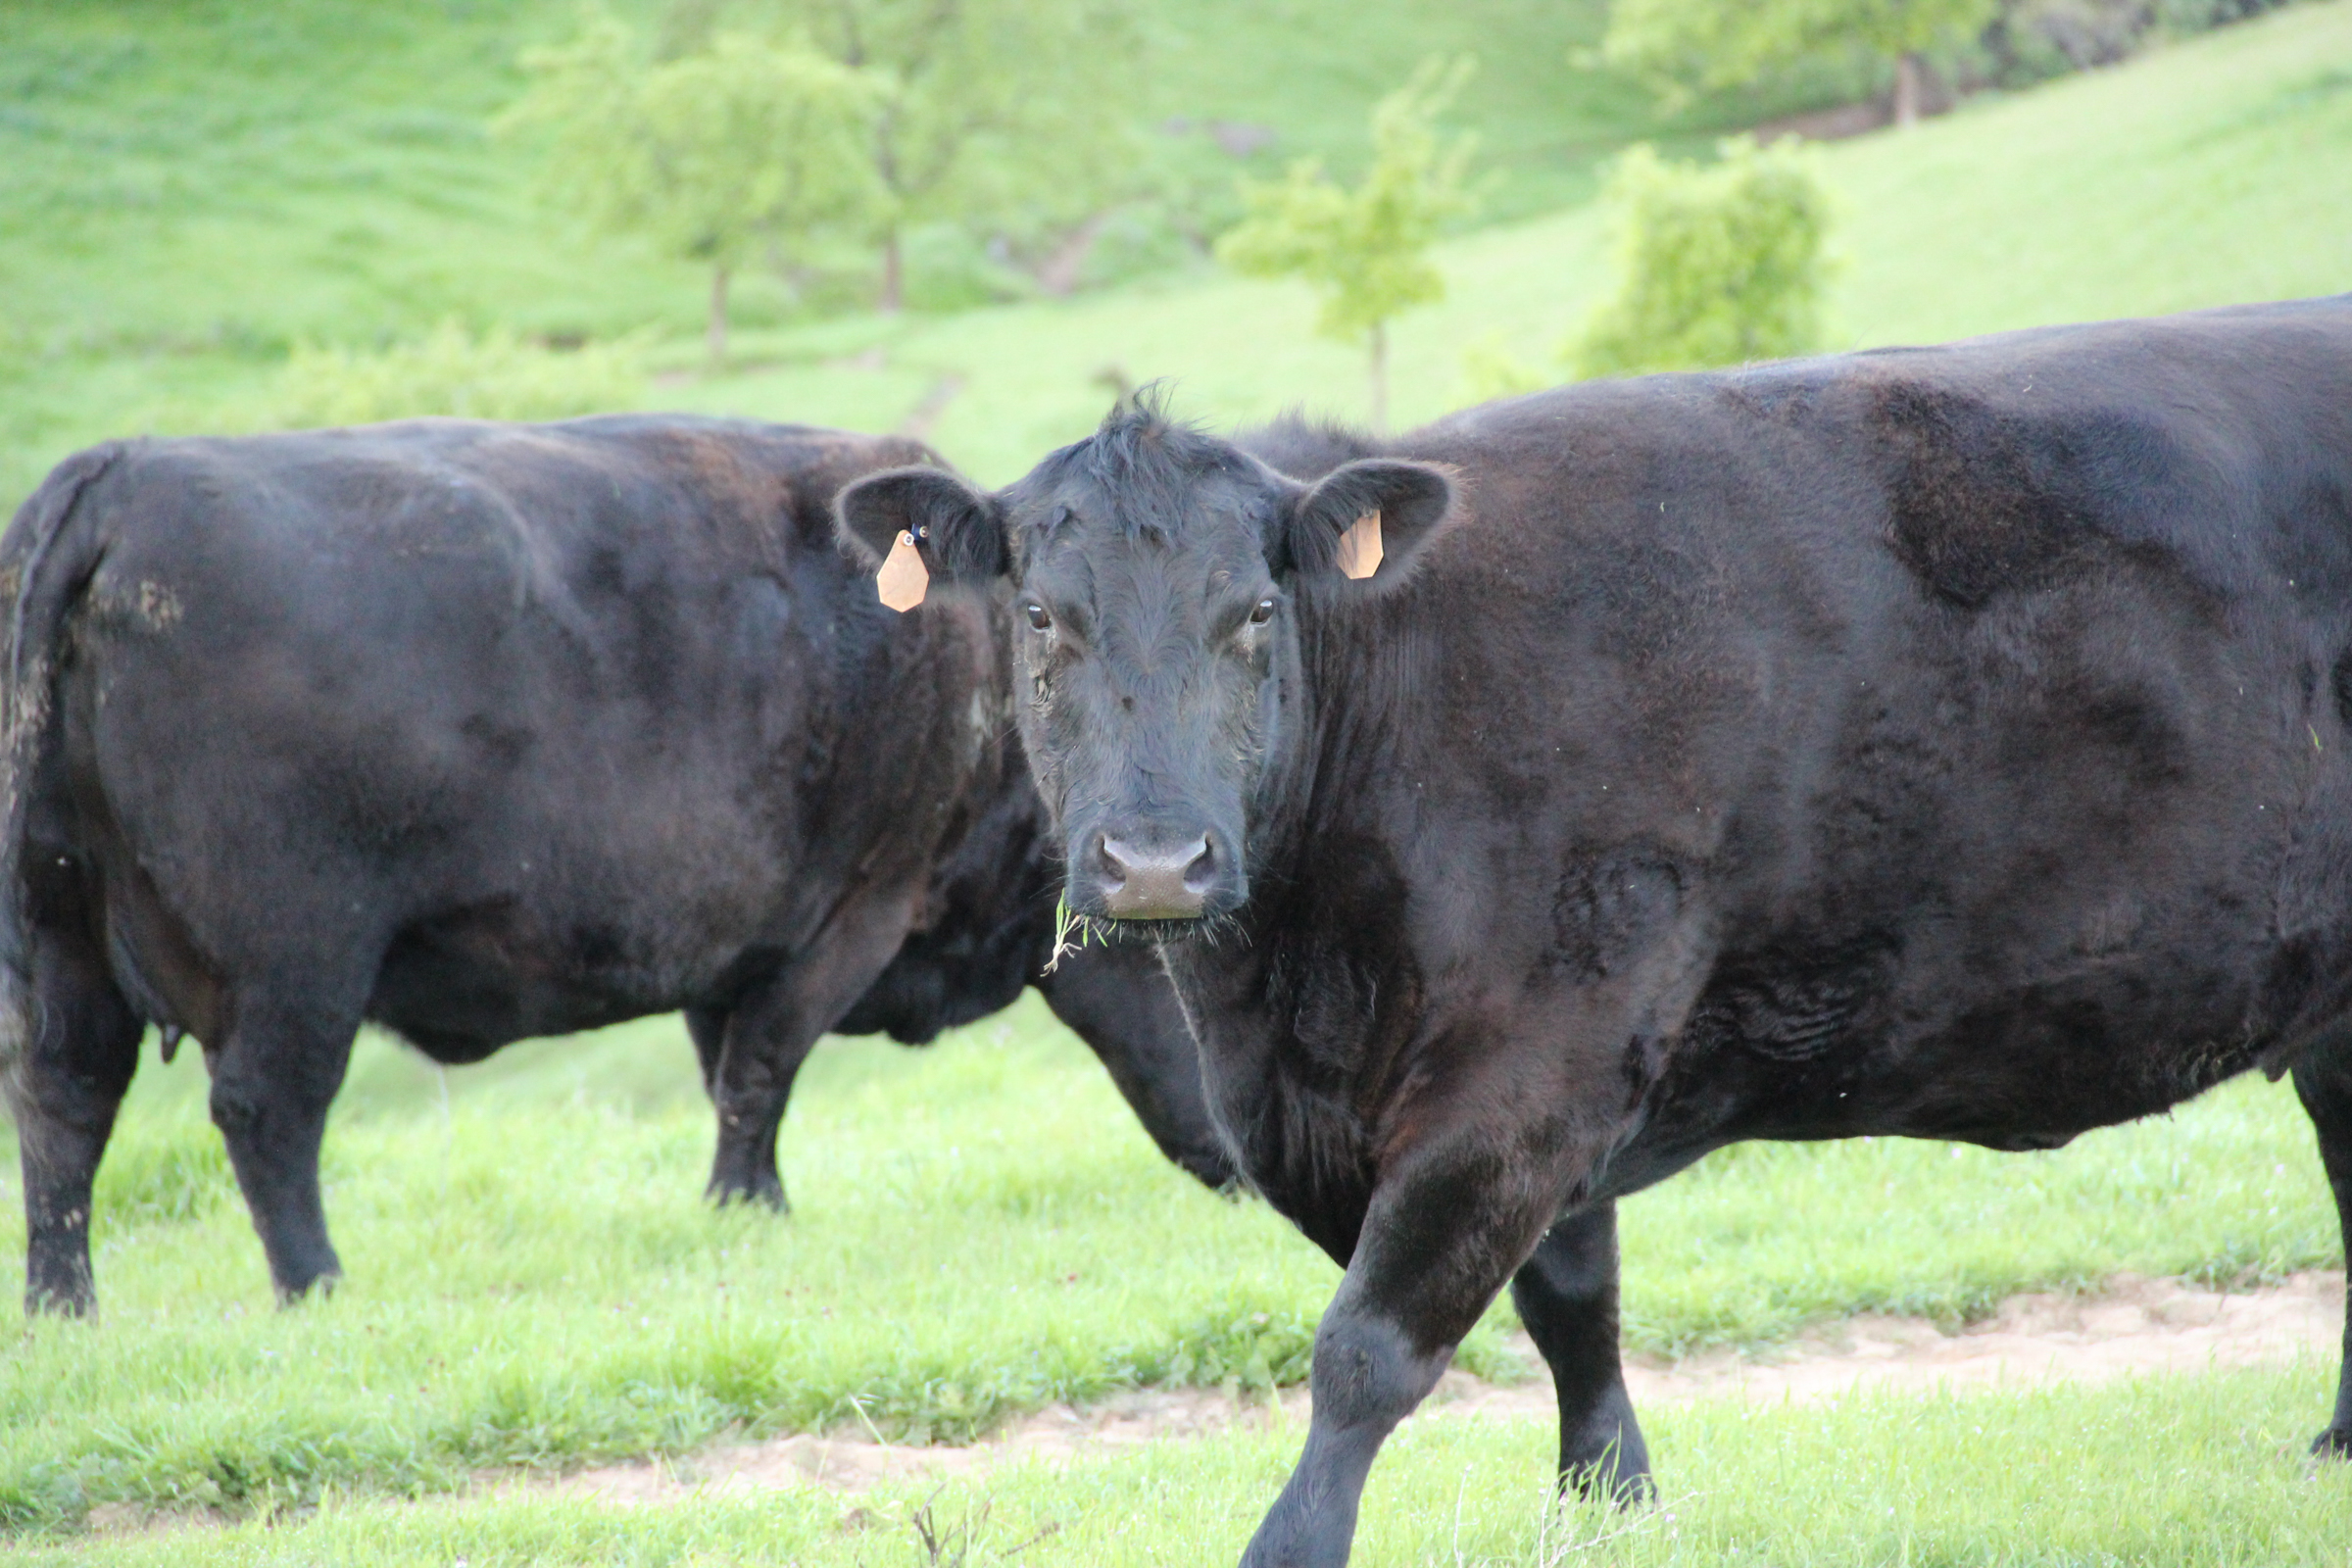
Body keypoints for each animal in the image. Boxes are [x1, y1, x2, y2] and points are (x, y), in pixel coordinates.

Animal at [0, 413, 1229, 1318]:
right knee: (265, 1113)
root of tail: (118, 474)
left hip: (60, 936)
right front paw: (750, 1212)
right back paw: (318, 1287)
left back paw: (67, 1309)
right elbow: (760, 1073)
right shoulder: (853, 911)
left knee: (62, 1106)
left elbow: (732, 1074)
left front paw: (743, 1210)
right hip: (296, 958)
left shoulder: (730, 943)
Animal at [838, 295, 2352, 1566]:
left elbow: (1368, 1347)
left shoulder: (1538, 1055)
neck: (1291, 1006)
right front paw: (1617, 1505)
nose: (1156, 856)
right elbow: (1575, 1307)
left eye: (1256, 612)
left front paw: (1293, 1545)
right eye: (1042, 616)